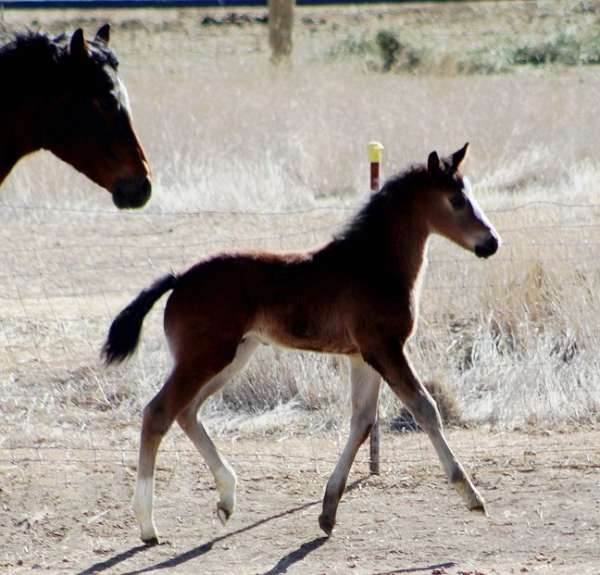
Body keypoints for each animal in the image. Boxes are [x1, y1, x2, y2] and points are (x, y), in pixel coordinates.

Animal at [104, 144, 502, 544]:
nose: (492, 242)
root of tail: (180, 278)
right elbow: (425, 408)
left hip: (232, 357)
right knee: (158, 412)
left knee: (186, 412)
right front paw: (471, 495)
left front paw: (327, 512)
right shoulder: (386, 349)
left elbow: (362, 422)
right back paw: (147, 524)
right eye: (456, 199)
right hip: (204, 357)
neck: (373, 265)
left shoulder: (363, 356)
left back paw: (227, 498)